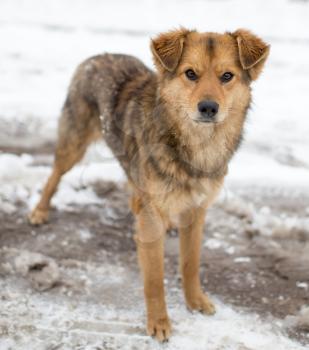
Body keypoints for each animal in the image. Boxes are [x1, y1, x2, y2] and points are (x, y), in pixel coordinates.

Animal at [28, 28, 270, 342]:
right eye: (190, 73)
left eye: (227, 76)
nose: (208, 107)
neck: (195, 147)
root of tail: (98, 56)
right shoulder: (151, 216)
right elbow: (154, 279)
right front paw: (159, 322)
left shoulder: (197, 210)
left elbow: (191, 263)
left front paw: (195, 301)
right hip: (73, 145)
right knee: (53, 176)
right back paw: (39, 211)